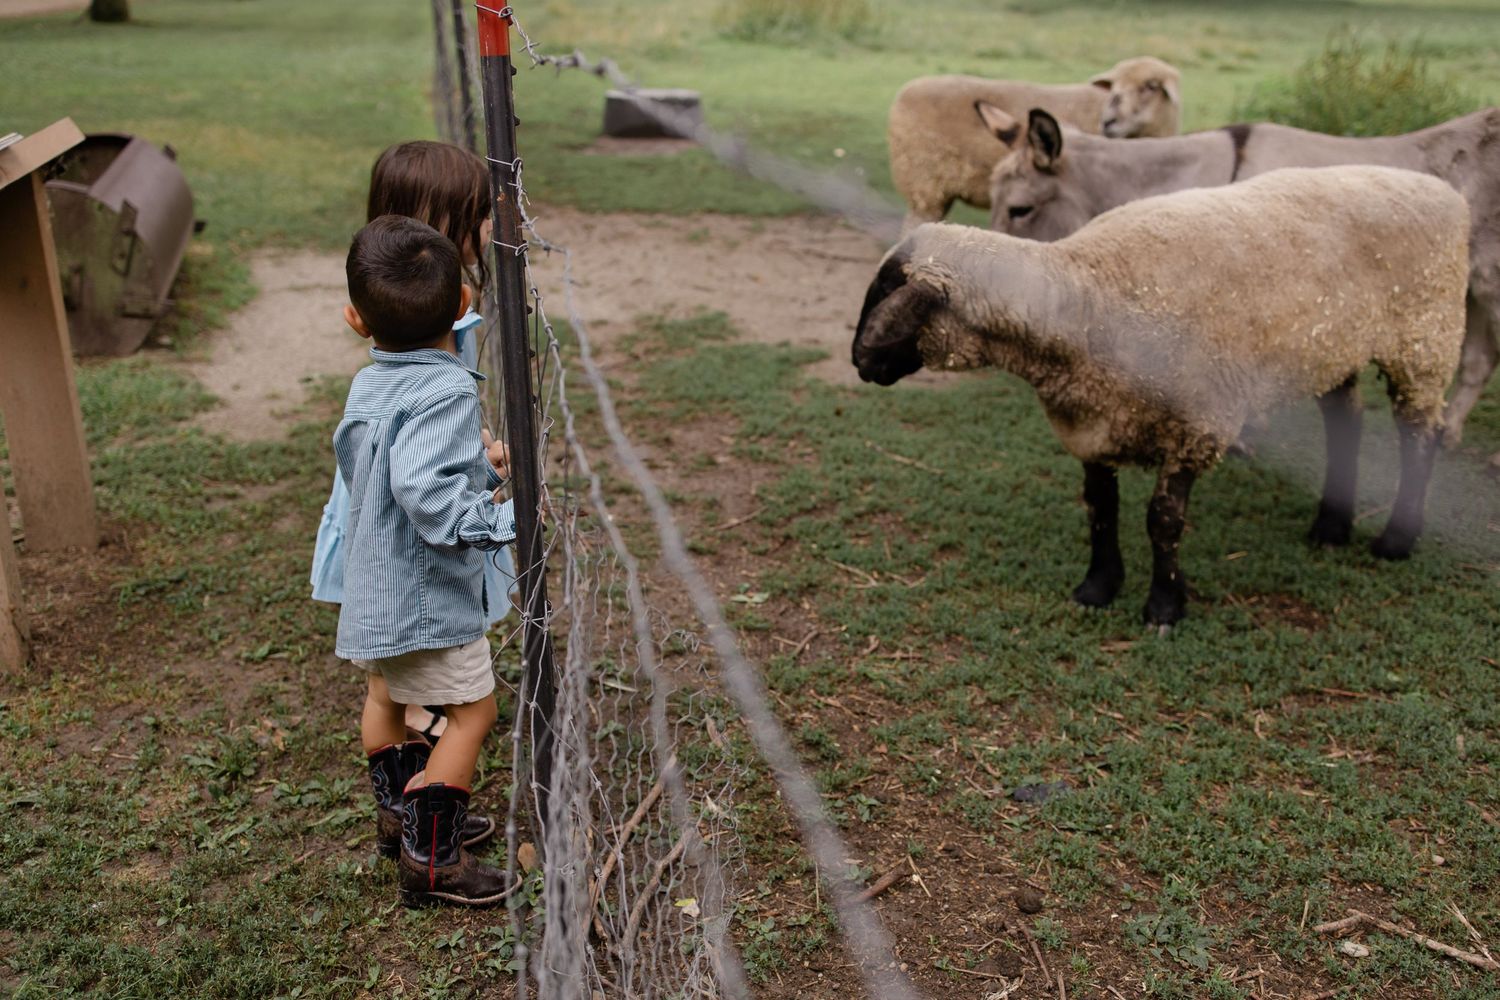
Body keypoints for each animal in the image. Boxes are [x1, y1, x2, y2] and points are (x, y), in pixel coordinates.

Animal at [852, 166, 1469, 626]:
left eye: (892, 297)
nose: (860, 362)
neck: (1087, 293)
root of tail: (1443, 190)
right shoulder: (1095, 422)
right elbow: (1101, 509)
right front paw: (1098, 587)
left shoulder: (1197, 425)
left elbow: (1162, 521)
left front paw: (1165, 606)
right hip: (1334, 342)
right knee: (1347, 418)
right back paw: (1330, 529)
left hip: (1426, 335)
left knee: (1421, 430)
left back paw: (1396, 539)